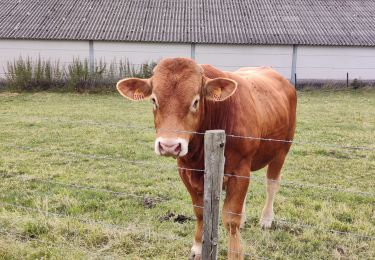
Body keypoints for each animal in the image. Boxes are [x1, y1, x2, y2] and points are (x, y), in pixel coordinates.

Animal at [117, 58, 296, 258]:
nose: (169, 146)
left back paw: (266, 219)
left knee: (272, 184)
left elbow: (231, 217)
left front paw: (235, 254)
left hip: (282, 151)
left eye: (196, 101)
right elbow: (200, 211)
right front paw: (197, 247)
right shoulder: (186, 171)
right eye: (154, 100)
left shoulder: (239, 169)